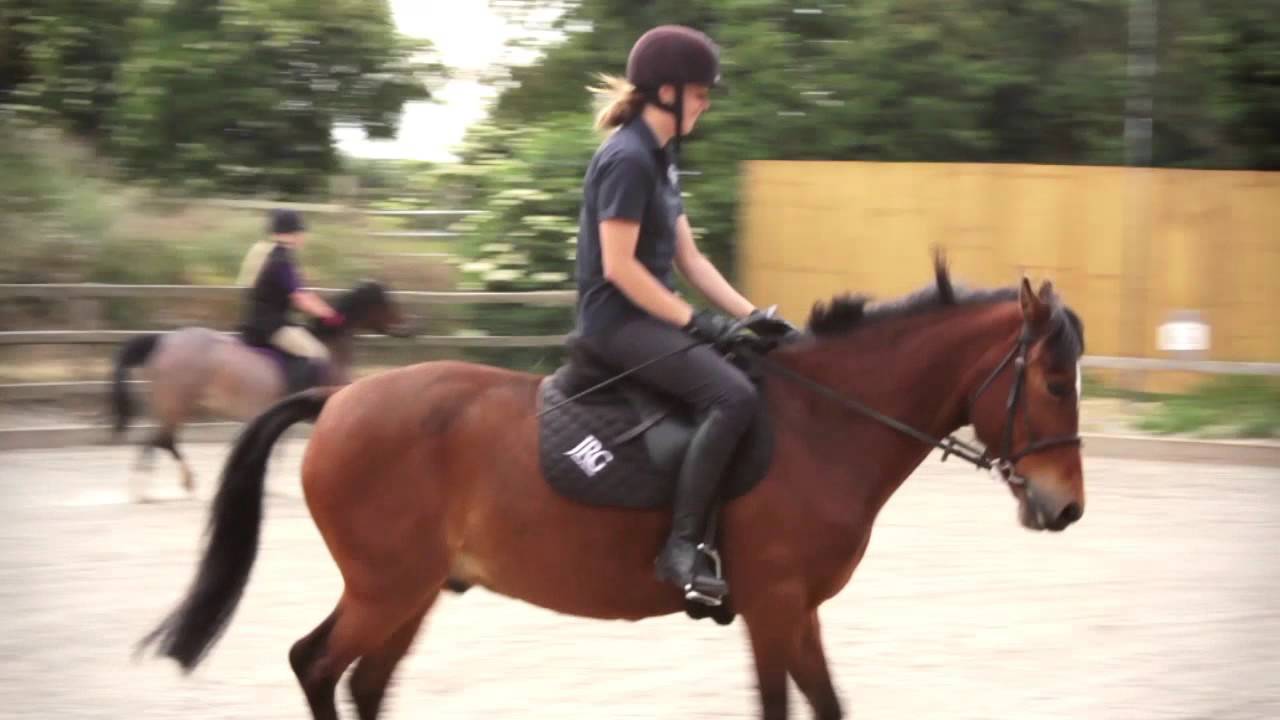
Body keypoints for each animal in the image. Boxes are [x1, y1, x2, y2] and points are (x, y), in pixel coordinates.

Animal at [110, 280, 405, 499]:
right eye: (388, 302)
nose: (409, 328)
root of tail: (163, 341)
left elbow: (281, 448)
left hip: (173, 405)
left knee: (158, 440)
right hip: (177, 405)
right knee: (161, 440)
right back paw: (163, 485)